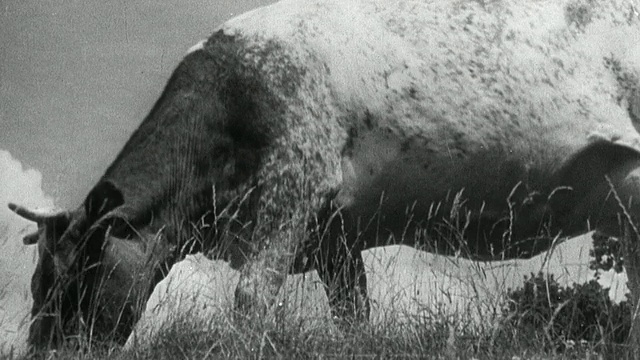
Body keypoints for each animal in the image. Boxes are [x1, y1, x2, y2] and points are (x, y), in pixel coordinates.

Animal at [7, 0, 640, 352]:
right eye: (37, 282)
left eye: (73, 278)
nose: (41, 349)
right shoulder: (336, 235)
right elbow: (352, 313)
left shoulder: (295, 181)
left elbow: (251, 295)